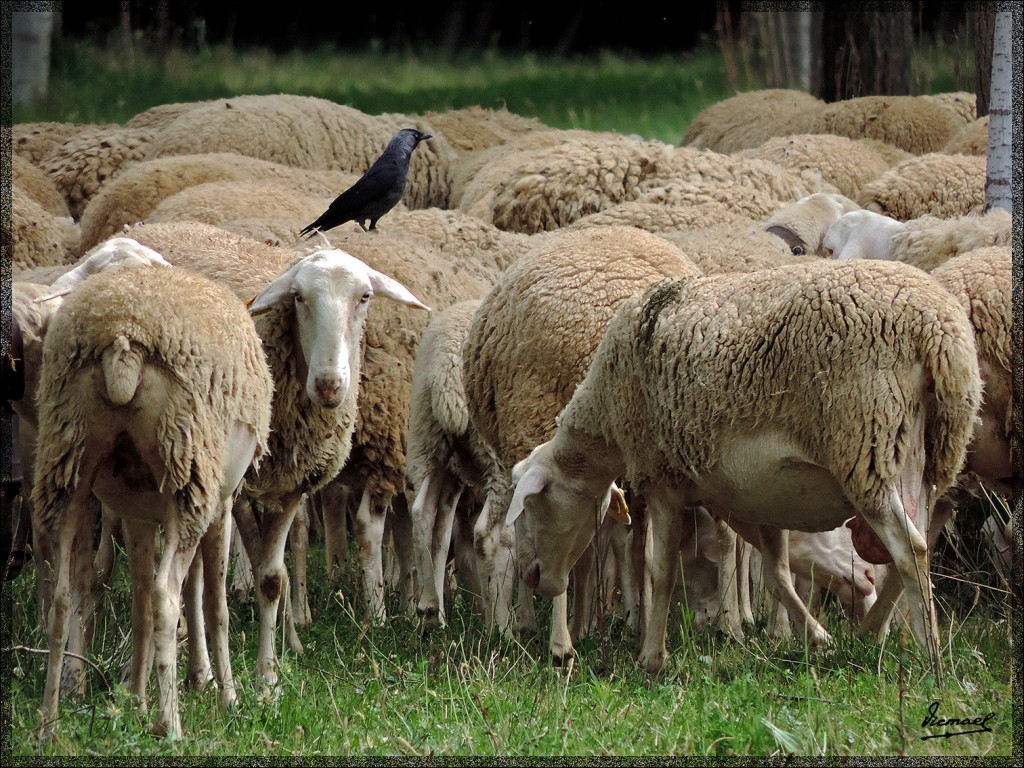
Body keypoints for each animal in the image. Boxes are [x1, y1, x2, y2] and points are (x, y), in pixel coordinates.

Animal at [32, 244, 274, 741]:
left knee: (64, 595)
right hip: (191, 467)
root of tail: (122, 337)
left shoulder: (137, 512)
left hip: (67, 462)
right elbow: (214, 605)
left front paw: (137, 701)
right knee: (167, 595)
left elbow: (139, 603)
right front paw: (228, 698)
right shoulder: (221, 503)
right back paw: (172, 726)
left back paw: (49, 721)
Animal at [507, 262, 978, 684]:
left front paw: (651, 659)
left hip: (867, 443)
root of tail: (939, 332)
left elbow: (660, 573)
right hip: (922, 455)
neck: (606, 409)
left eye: (531, 508)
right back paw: (896, 640)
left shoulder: (664, 480)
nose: (531, 576)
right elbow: (778, 576)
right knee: (920, 545)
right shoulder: (754, 499)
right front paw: (819, 639)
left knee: (910, 551)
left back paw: (933, 663)